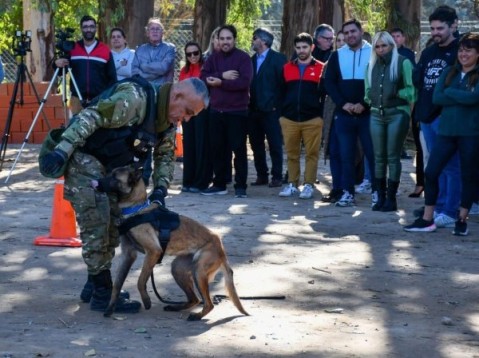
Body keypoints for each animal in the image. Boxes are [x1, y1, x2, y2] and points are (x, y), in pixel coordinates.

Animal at [97, 166, 248, 320]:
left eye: (114, 177)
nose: (96, 181)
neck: (136, 209)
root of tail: (221, 248)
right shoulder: (128, 255)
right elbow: (117, 284)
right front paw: (111, 307)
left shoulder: (153, 251)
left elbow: (140, 280)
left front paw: (146, 300)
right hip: (178, 269)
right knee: (194, 299)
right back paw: (176, 307)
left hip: (199, 271)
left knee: (208, 303)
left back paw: (197, 316)